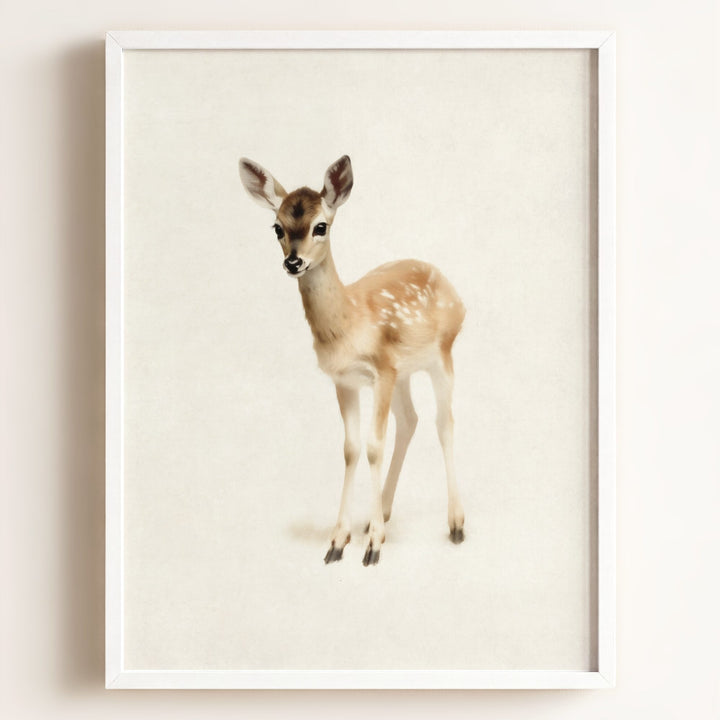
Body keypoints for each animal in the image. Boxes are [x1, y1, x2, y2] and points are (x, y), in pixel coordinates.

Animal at [239, 155, 466, 566]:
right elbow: (352, 449)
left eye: (321, 226)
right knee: (410, 419)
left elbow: (375, 446)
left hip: (441, 353)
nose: (293, 262)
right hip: (404, 372)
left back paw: (455, 523)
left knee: (444, 421)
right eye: (277, 226)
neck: (349, 325)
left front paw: (373, 547)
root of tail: (454, 291)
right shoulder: (346, 379)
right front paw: (339, 540)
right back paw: (383, 513)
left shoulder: (381, 369)